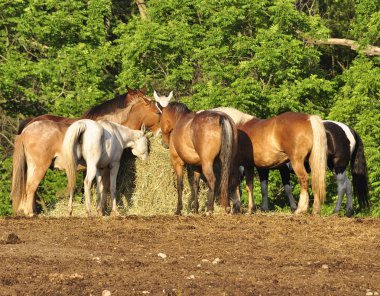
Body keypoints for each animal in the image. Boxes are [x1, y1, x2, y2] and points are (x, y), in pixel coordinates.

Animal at [10, 88, 160, 217]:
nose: (160, 133)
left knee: (29, 188)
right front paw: (105, 210)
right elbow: (107, 187)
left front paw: (99, 210)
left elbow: (100, 188)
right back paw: (31, 213)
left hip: (32, 166)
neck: (114, 131)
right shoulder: (109, 167)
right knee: (31, 187)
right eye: (158, 112)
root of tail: (27, 129)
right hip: (40, 167)